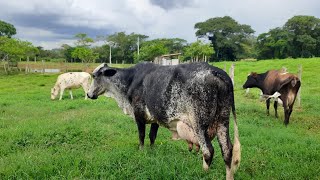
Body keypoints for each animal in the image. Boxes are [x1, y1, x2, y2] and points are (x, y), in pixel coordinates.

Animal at [87, 62, 240, 180]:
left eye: (94, 76)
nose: (88, 94)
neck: (129, 81)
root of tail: (219, 73)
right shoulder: (155, 119)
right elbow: (152, 136)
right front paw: (152, 150)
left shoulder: (138, 115)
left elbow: (141, 136)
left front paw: (142, 151)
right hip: (222, 121)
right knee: (227, 150)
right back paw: (229, 176)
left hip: (199, 124)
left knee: (208, 150)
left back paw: (204, 173)